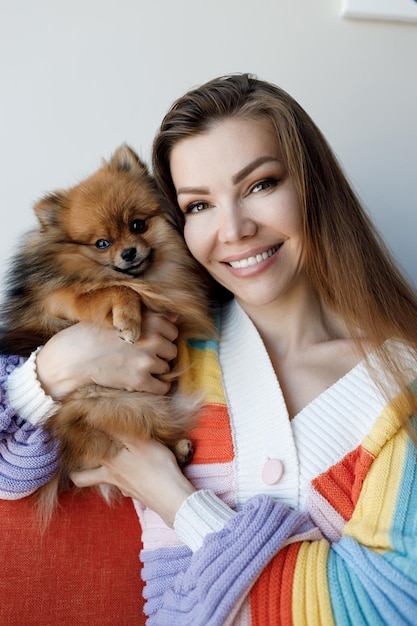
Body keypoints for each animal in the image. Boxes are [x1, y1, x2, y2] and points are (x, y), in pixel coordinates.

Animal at [0, 144, 213, 520]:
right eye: (101, 243)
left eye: (137, 225)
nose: (128, 252)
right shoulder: (60, 298)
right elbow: (116, 289)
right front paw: (128, 321)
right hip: (115, 403)